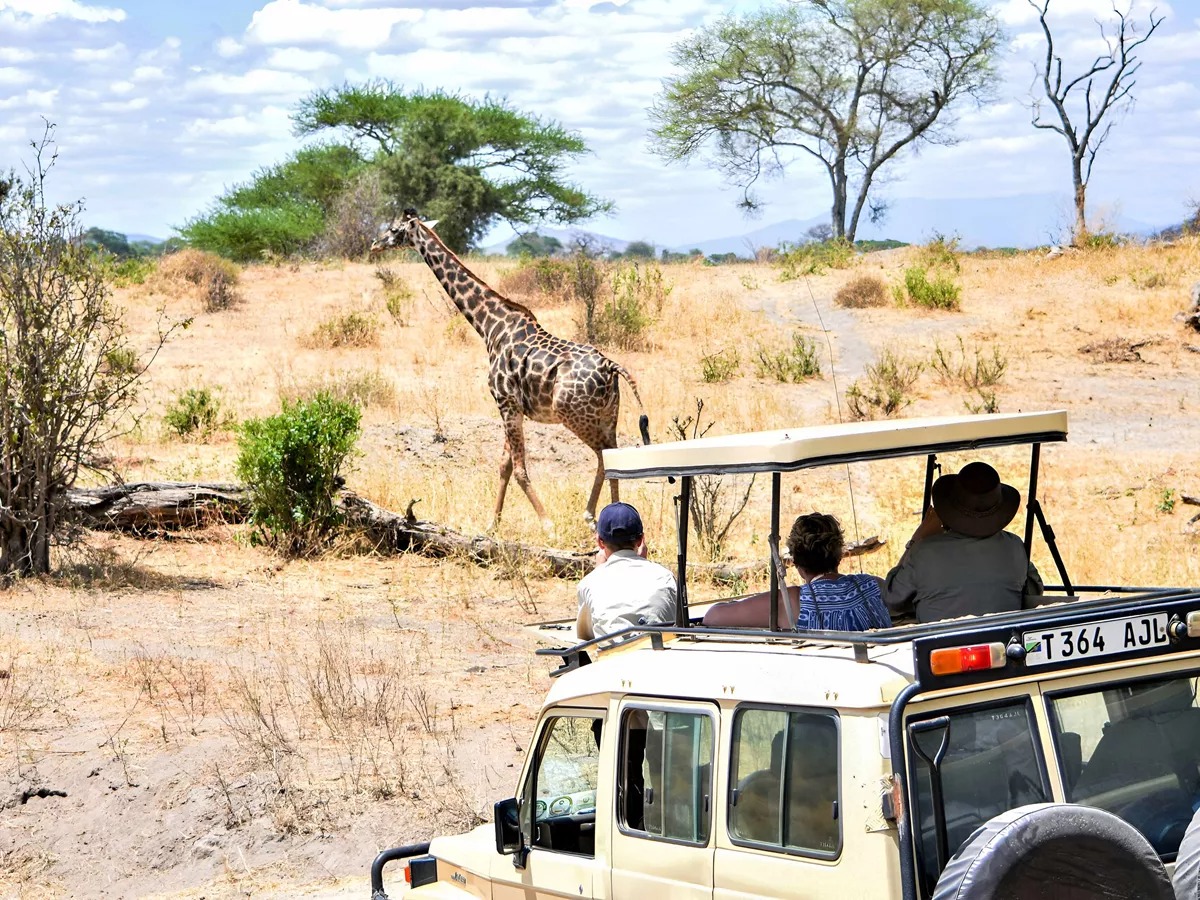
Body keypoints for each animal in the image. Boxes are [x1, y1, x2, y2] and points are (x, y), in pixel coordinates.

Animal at [371, 209, 651, 531]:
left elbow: (518, 469)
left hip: (575, 416)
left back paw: (590, 514)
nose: (374, 244)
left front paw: (546, 523)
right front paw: (493, 524)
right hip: (608, 416)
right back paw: (606, 512)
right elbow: (504, 465)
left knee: (605, 456)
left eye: (394, 229)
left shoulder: (506, 402)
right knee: (613, 457)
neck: (490, 327)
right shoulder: (510, 406)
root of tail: (610, 366)